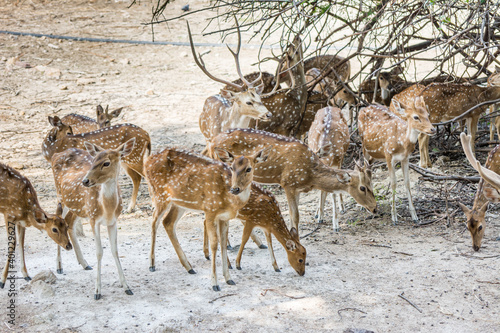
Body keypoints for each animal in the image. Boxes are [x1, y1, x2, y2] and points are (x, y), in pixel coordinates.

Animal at [51, 139, 136, 300]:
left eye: (106, 163)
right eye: (94, 160)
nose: (85, 181)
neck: (107, 209)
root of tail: (56, 154)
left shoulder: (114, 221)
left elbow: (115, 250)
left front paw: (127, 287)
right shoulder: (93, 219)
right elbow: (99, 252)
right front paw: (97, 291)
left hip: (77, 207)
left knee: (69, 223)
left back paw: (85, 264)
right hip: (61, 196)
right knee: (57, 217)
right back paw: (59, 267)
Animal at [145, 147, 270, 290]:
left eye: (249, 169)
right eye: (232, 167)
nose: (235, 189)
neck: (230, 201)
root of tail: (146, 161)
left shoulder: (224, 218)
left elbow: (223, 244)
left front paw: (229, 279)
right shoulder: (210, 211)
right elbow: (214, 244)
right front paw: (215, 283)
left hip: (179, 202)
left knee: (168, 222)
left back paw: (189, 267)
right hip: (159, 194)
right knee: (154, 221)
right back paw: (152, 265)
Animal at [207, 127, 376, 231]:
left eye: (371, 184)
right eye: (362, 187)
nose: (375, 208)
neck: (310, 176)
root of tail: (211, 142)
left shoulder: (298, 189)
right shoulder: (288, 183)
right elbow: (295, 216)